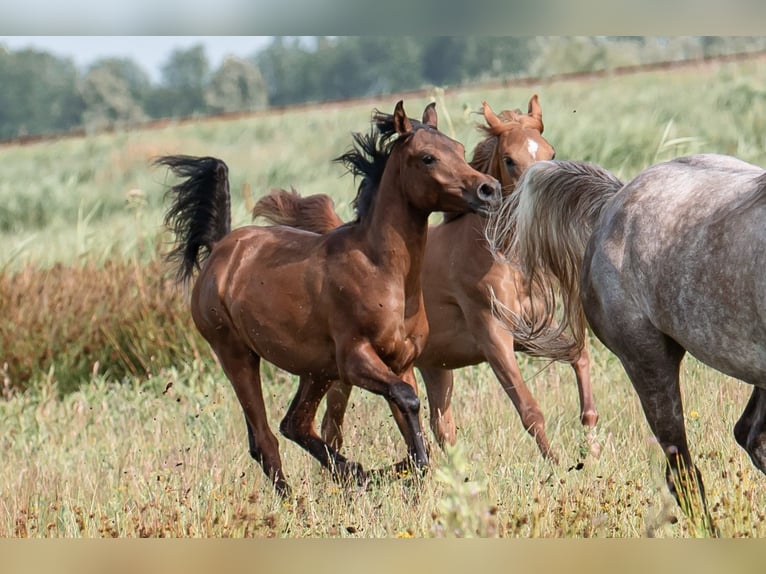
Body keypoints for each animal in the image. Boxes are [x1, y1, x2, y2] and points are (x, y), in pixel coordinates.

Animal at [158, 101, 504, 498]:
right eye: (428, 157)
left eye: (459, 149)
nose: (489, 190)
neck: (381, 271)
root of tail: (219, 249)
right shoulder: (355, 359)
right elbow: (407, 400)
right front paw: (395, 468)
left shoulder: (400, 361)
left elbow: (408, 413)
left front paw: (399, 470)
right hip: (237, 355)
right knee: (265, 440)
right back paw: (302, 498)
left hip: (316, 369)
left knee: (294, 424)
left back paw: (352, 473)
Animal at [254, 95, 600, 464]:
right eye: (510, 160)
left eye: (550, 152)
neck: (499, 256)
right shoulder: (494, 335)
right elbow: (529, 408)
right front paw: (559, 464)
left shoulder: (530, 330)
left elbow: (579, 357)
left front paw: (592, 447)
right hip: (345, 372)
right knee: (333, 427)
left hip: (434, 367)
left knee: (439, 426)